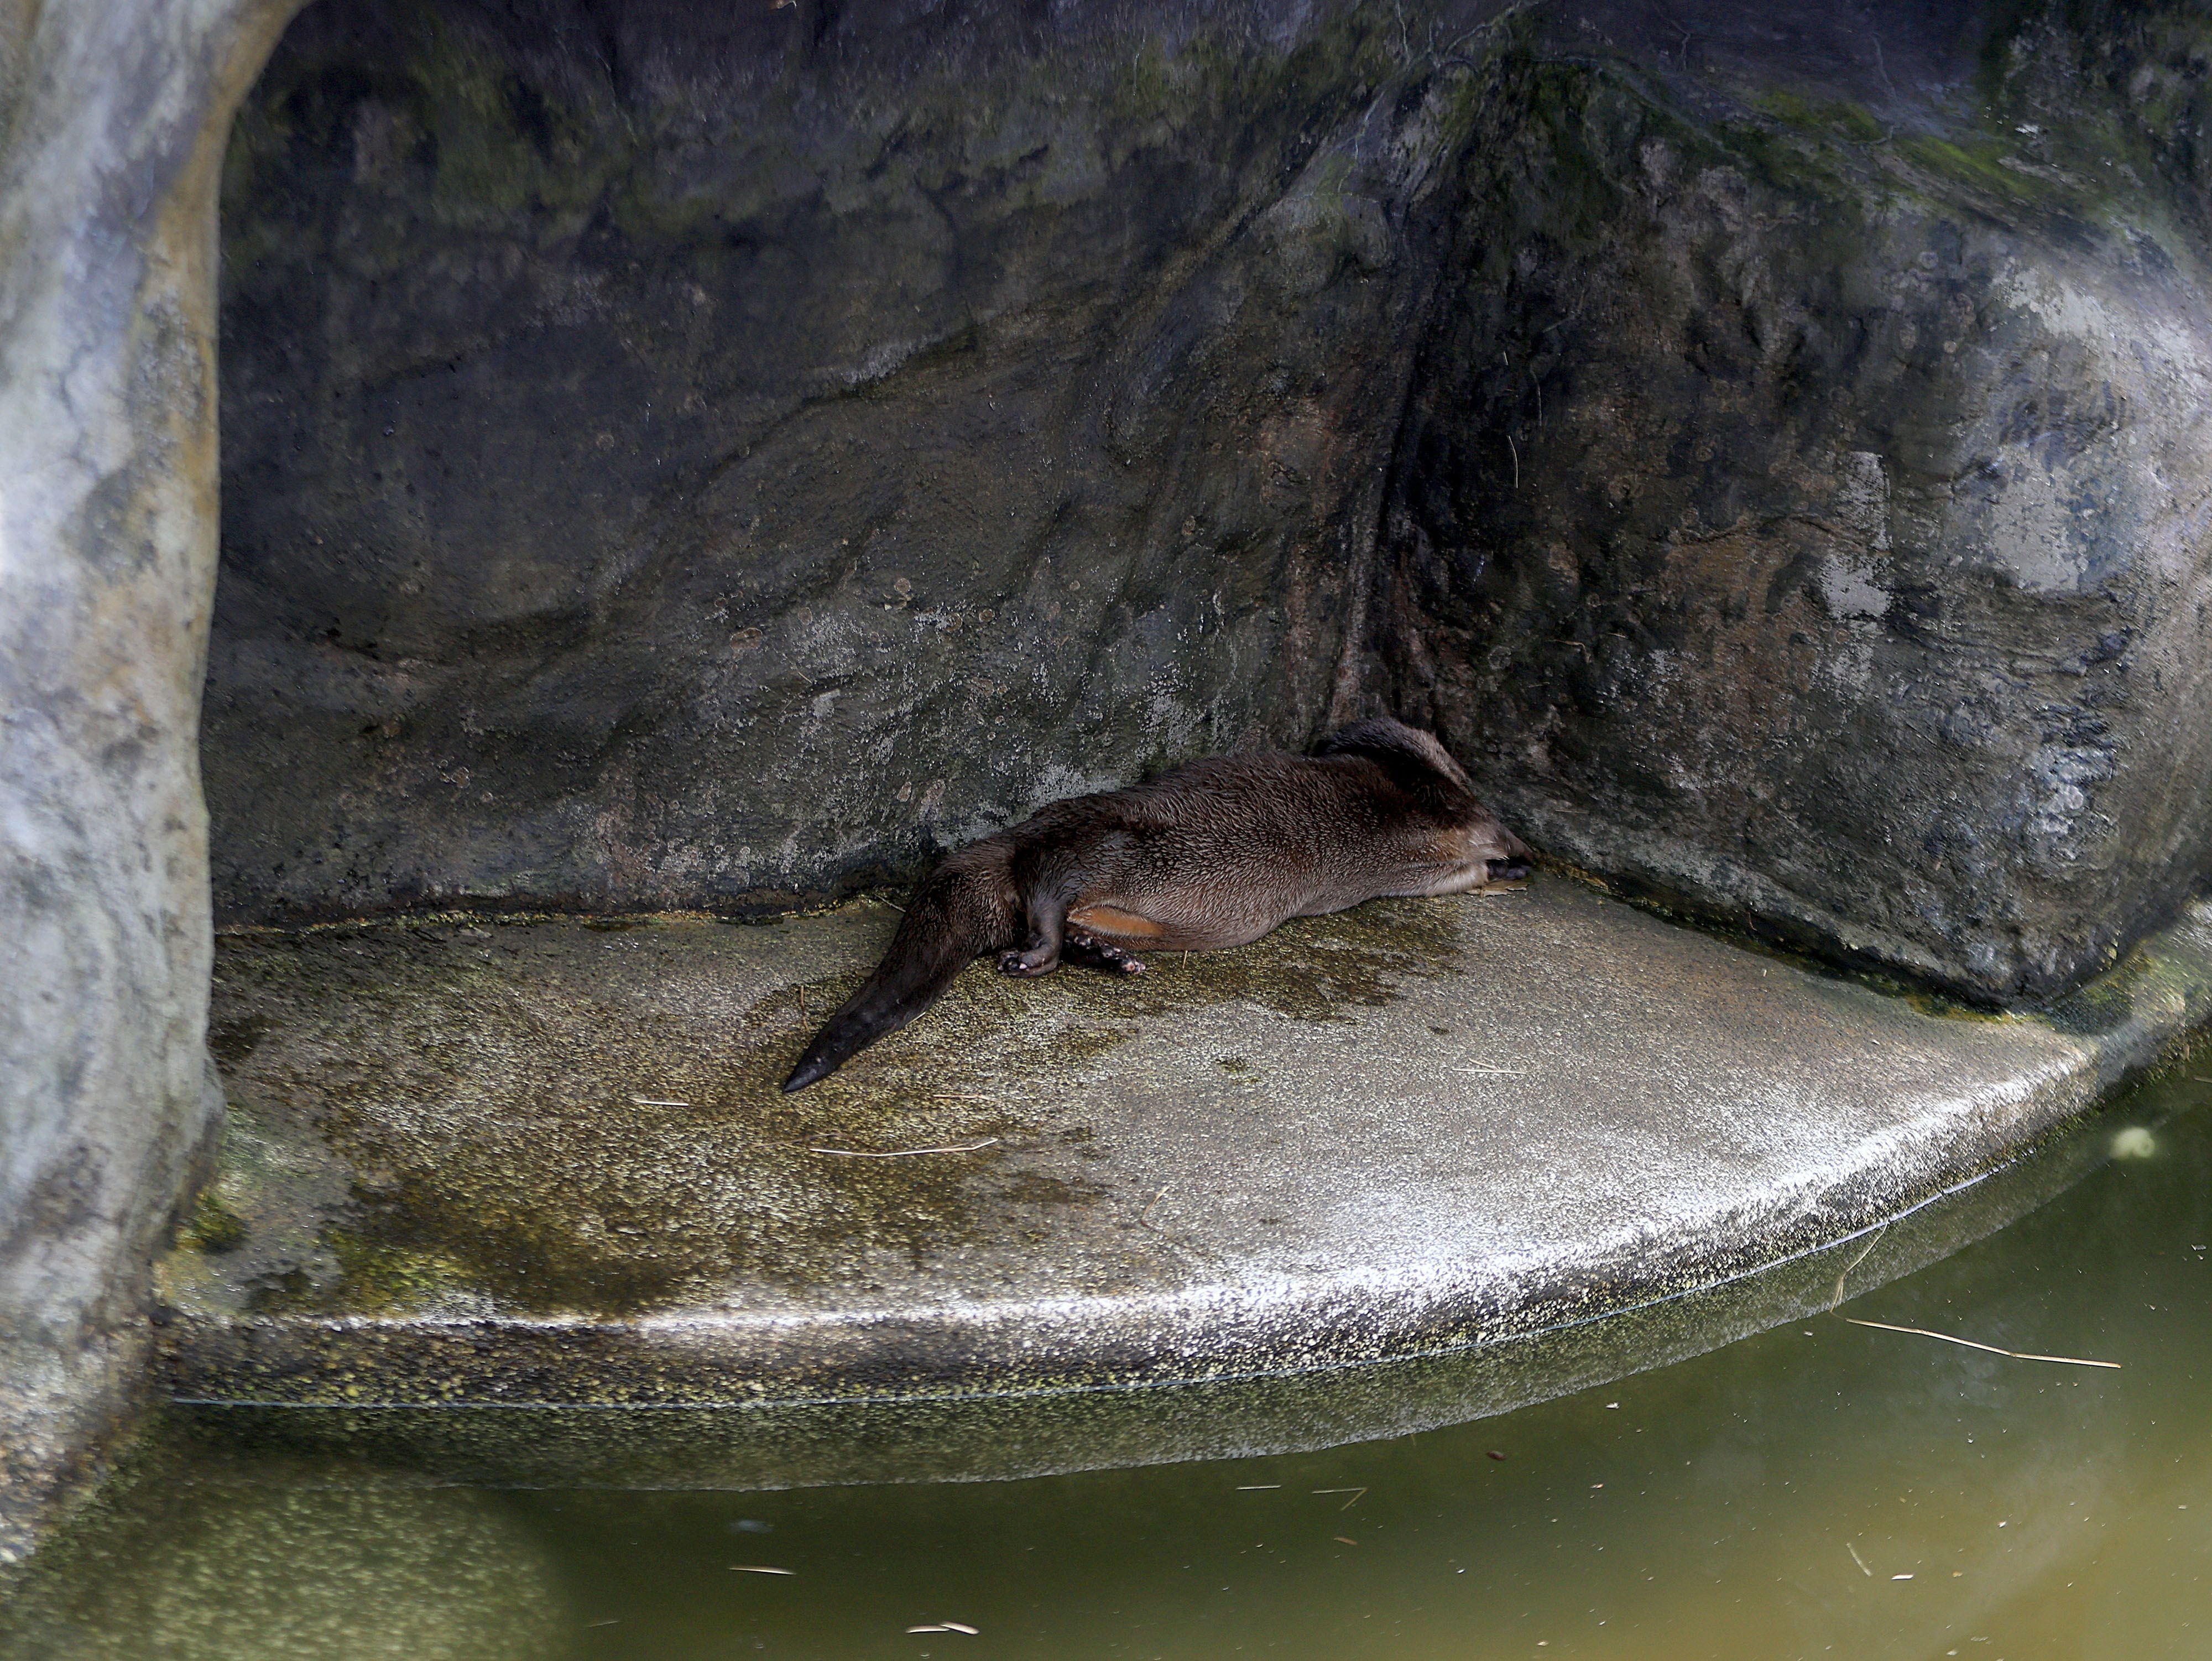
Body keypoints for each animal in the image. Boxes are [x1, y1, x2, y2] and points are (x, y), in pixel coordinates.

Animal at [787, 712, 1531, 1092]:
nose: (1515, 854)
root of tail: (1010, 837)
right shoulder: (1435, 791)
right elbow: (1410, 750)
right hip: (1108, 836)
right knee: (1045, 881)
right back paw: (1048, 952)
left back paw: (1099, 953)